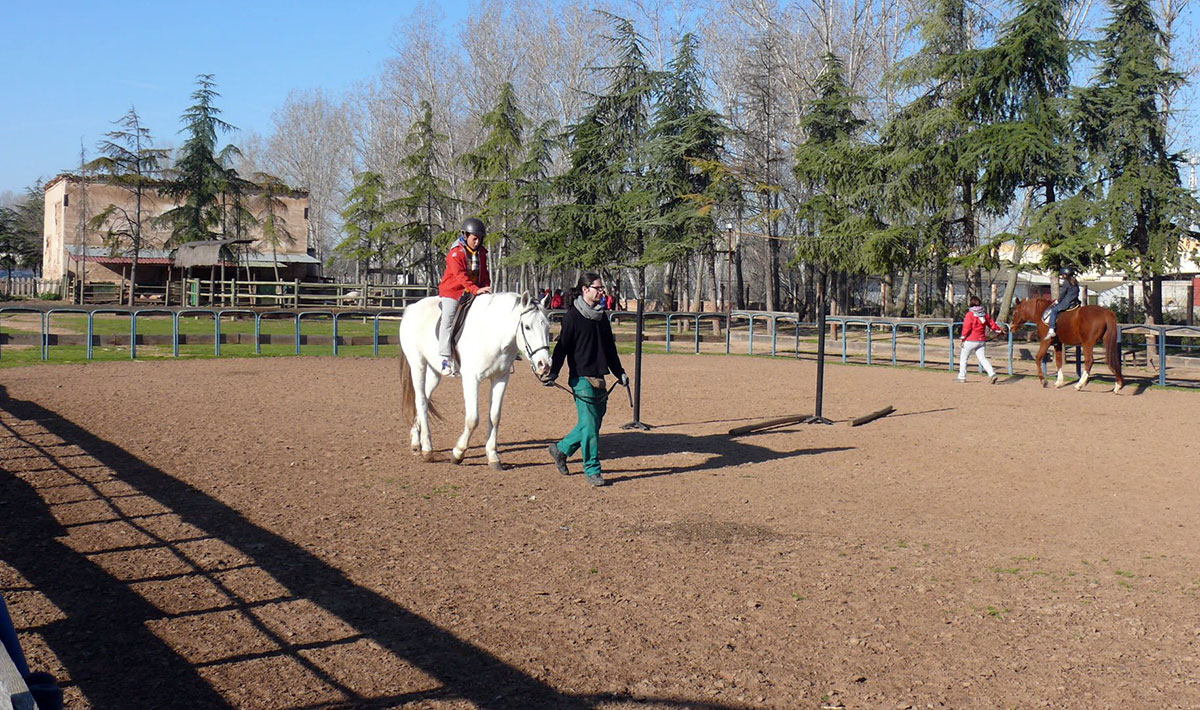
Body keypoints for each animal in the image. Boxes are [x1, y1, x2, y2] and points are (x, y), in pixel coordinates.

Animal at [398, 292, 553, 468]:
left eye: (548, 327)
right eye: (527, 327)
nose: (544, 364)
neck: (491, 333)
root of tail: (412, 308)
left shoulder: (500, 378)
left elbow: (495, 417)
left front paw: (492, 455)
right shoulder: (471, 380)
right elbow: (473, 419)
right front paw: (458, 453)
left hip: (434, 372)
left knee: (424, 398)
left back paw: (416, 442)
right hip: (418, 364)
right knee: (421, 401)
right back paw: (427, 449)